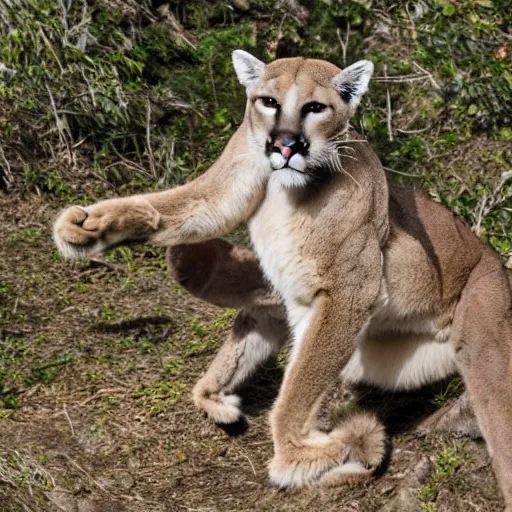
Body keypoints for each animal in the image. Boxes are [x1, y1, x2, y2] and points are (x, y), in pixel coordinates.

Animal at [52, 50, 512, 506]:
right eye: (268, 102)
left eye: (315, 108)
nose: (285, 144)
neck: (288, 191)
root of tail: (495, 259)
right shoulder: (235, 185)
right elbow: (191, 207)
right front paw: (92, 226)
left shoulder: (348, 293)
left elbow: (299, 386)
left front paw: (298, 456)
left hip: (484, 339)